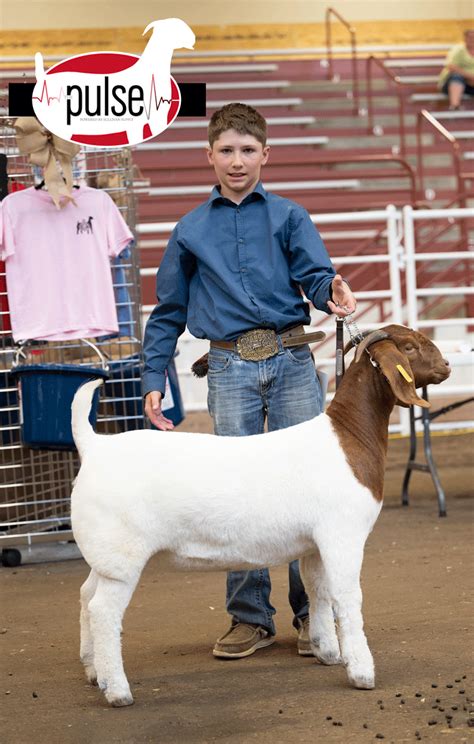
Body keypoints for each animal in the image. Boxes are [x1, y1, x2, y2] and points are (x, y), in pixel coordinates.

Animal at [69, 324, 448, 704]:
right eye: (410, 347)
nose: (445, 365)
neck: (348, 436)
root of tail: (95, 448)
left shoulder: (315, 545)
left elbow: (318, 590)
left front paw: (326, 650)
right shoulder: (343, 537)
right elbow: (347, 597)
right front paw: (361, 671)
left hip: (106, 555)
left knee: (86, 595)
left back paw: (92, 671)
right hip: (123, 557)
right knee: (103, 610)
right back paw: (117, 690)